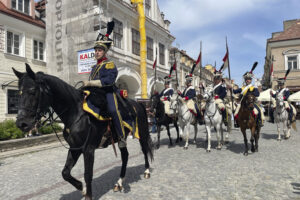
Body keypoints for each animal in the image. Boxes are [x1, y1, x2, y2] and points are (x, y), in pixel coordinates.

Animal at [12, 64, 154, 200]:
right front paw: (82, 188)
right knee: (125, 156)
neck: (76, 113)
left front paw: (88, 195)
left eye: (32, 91)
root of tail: (138, 104)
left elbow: (87, 174)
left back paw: (147, 172)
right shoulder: (75, 148)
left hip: (142, 133)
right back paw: (119, 183)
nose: (21, 123)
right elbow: (65, 173)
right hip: (120, 139)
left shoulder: (88, 149)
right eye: (19, 93)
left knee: (144, 150)